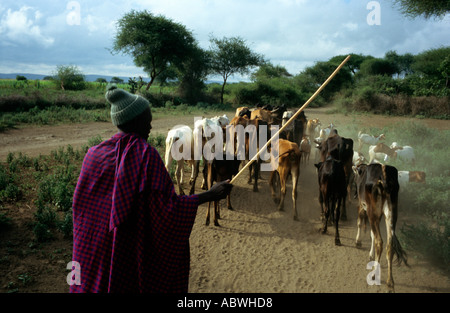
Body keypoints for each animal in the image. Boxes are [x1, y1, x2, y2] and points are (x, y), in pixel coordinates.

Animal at [354, 162, 410, 292]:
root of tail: (384, 174)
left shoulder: (362, 206)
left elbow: (360, 223)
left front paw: (358, 241)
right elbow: (372, 234)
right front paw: (371, 255)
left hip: (372, 213)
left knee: (379, 241)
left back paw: (374, 274)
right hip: (391, 214)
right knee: (390, 244)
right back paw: (390, 283)